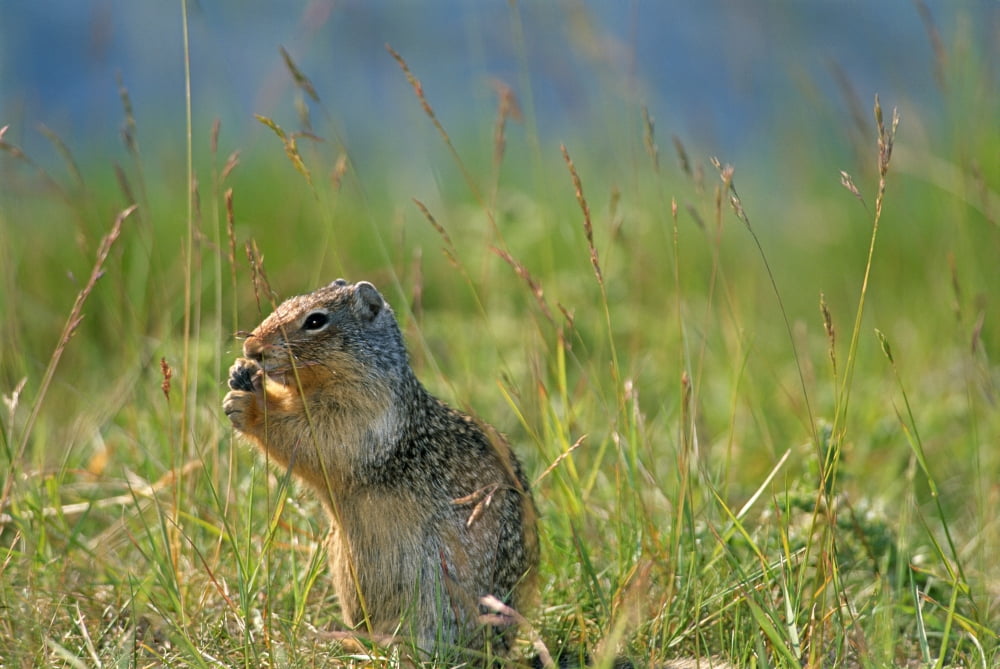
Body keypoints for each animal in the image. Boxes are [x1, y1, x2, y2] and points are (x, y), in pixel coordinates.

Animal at [222, 279, 539, 664]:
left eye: (315, 321)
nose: (251, 349)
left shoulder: (358, 417)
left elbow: (314, 436)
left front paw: (250, 403)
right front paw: (241, 373)